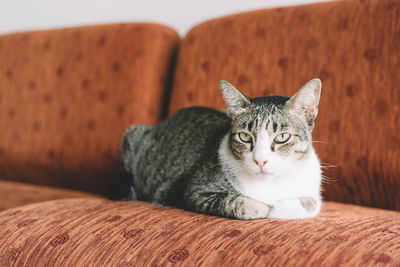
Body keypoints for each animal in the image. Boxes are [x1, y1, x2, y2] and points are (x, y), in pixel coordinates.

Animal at [120, 78, 324, 221]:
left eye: (282, 137)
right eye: (244, 137)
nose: (260, 160)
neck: (271, 185)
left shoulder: (312, 192)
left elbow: (309, 204)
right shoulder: (191, 191)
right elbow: (241, 204)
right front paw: (265, 207)